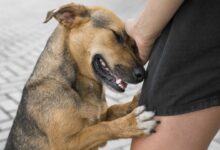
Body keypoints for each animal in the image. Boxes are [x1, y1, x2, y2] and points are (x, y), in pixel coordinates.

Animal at [5, 2, 159, 150]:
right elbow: (101, 128)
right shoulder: (66, 143)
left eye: (133, 44)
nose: (142, 74)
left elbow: (114, 109)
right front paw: (132, 123)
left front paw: (133, 103)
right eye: (116, 35)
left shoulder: (101, 116)